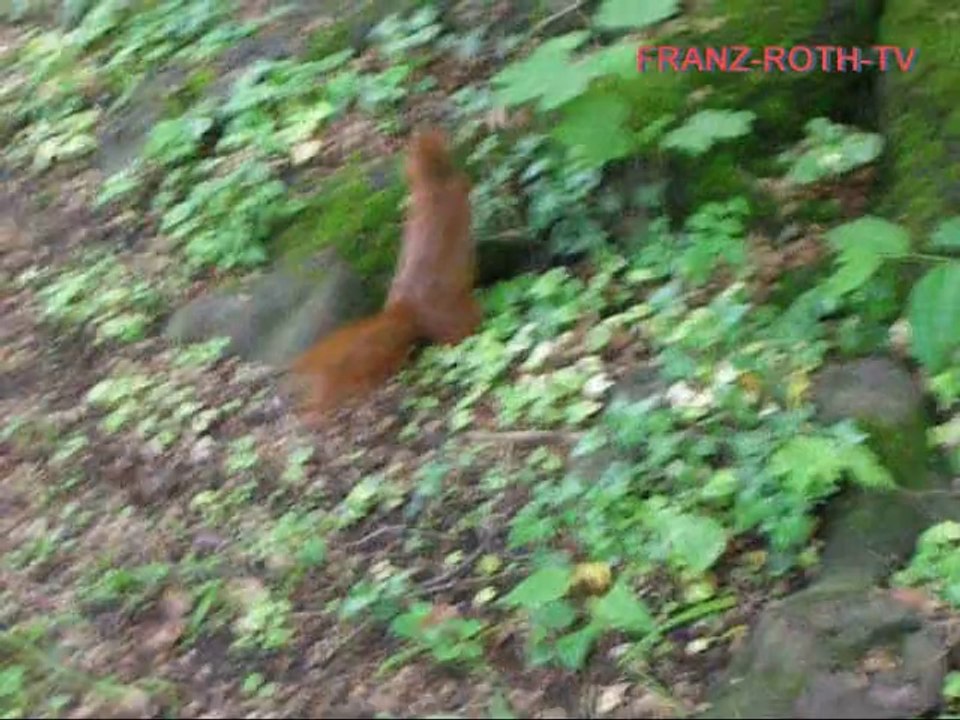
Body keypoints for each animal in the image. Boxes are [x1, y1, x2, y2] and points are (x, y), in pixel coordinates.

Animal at [288, 128, 481, 416]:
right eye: (436, 134)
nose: (444, 132)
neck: (431, 185)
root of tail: (402, 309)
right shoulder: (455, 189)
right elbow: (465, 185)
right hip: (455, 311)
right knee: (457, 332)